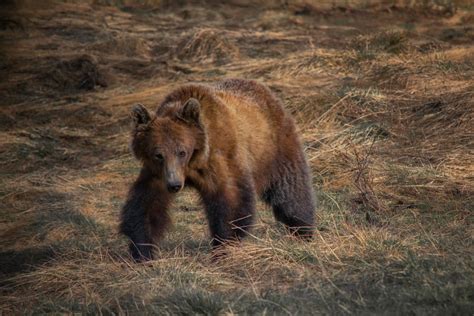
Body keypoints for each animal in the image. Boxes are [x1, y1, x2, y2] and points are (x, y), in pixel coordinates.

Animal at [120, 79, 316, 262]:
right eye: (158, 154)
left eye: (182, 151)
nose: (175, 185)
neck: (193, 162)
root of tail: (263, 89)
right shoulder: (157, 174)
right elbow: (146, 205)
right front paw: (142, 251)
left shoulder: (220, 159)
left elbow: (231, 202)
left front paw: (223, 247)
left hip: (273, 147)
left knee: (291, 190)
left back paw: (303, 230)